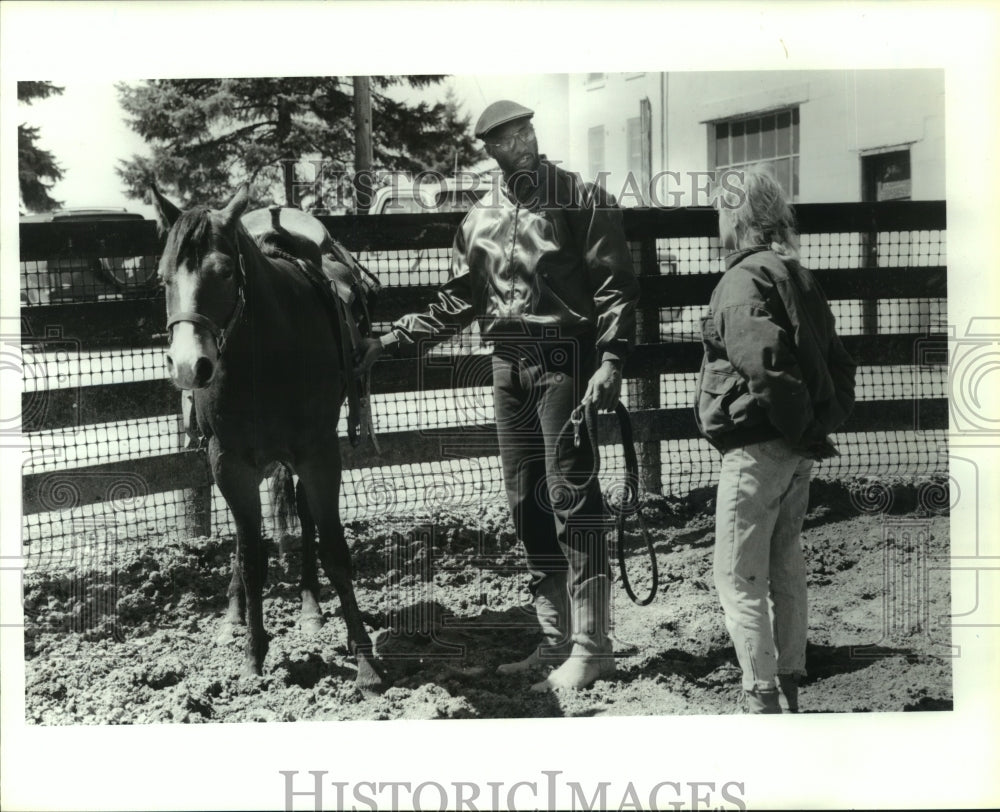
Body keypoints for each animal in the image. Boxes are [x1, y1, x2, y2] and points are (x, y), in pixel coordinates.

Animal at [151, 182, 382, 684]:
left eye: (222, 272)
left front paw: (365, 661)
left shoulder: (319, 455)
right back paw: (233, 617)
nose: (189, 366)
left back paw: (311, 606)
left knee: (305, 515)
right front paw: (253, 654)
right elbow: (252, 556)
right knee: (246, 542)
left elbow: (334, 548)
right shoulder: (228, 461)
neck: (265, 354)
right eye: (163, 279)